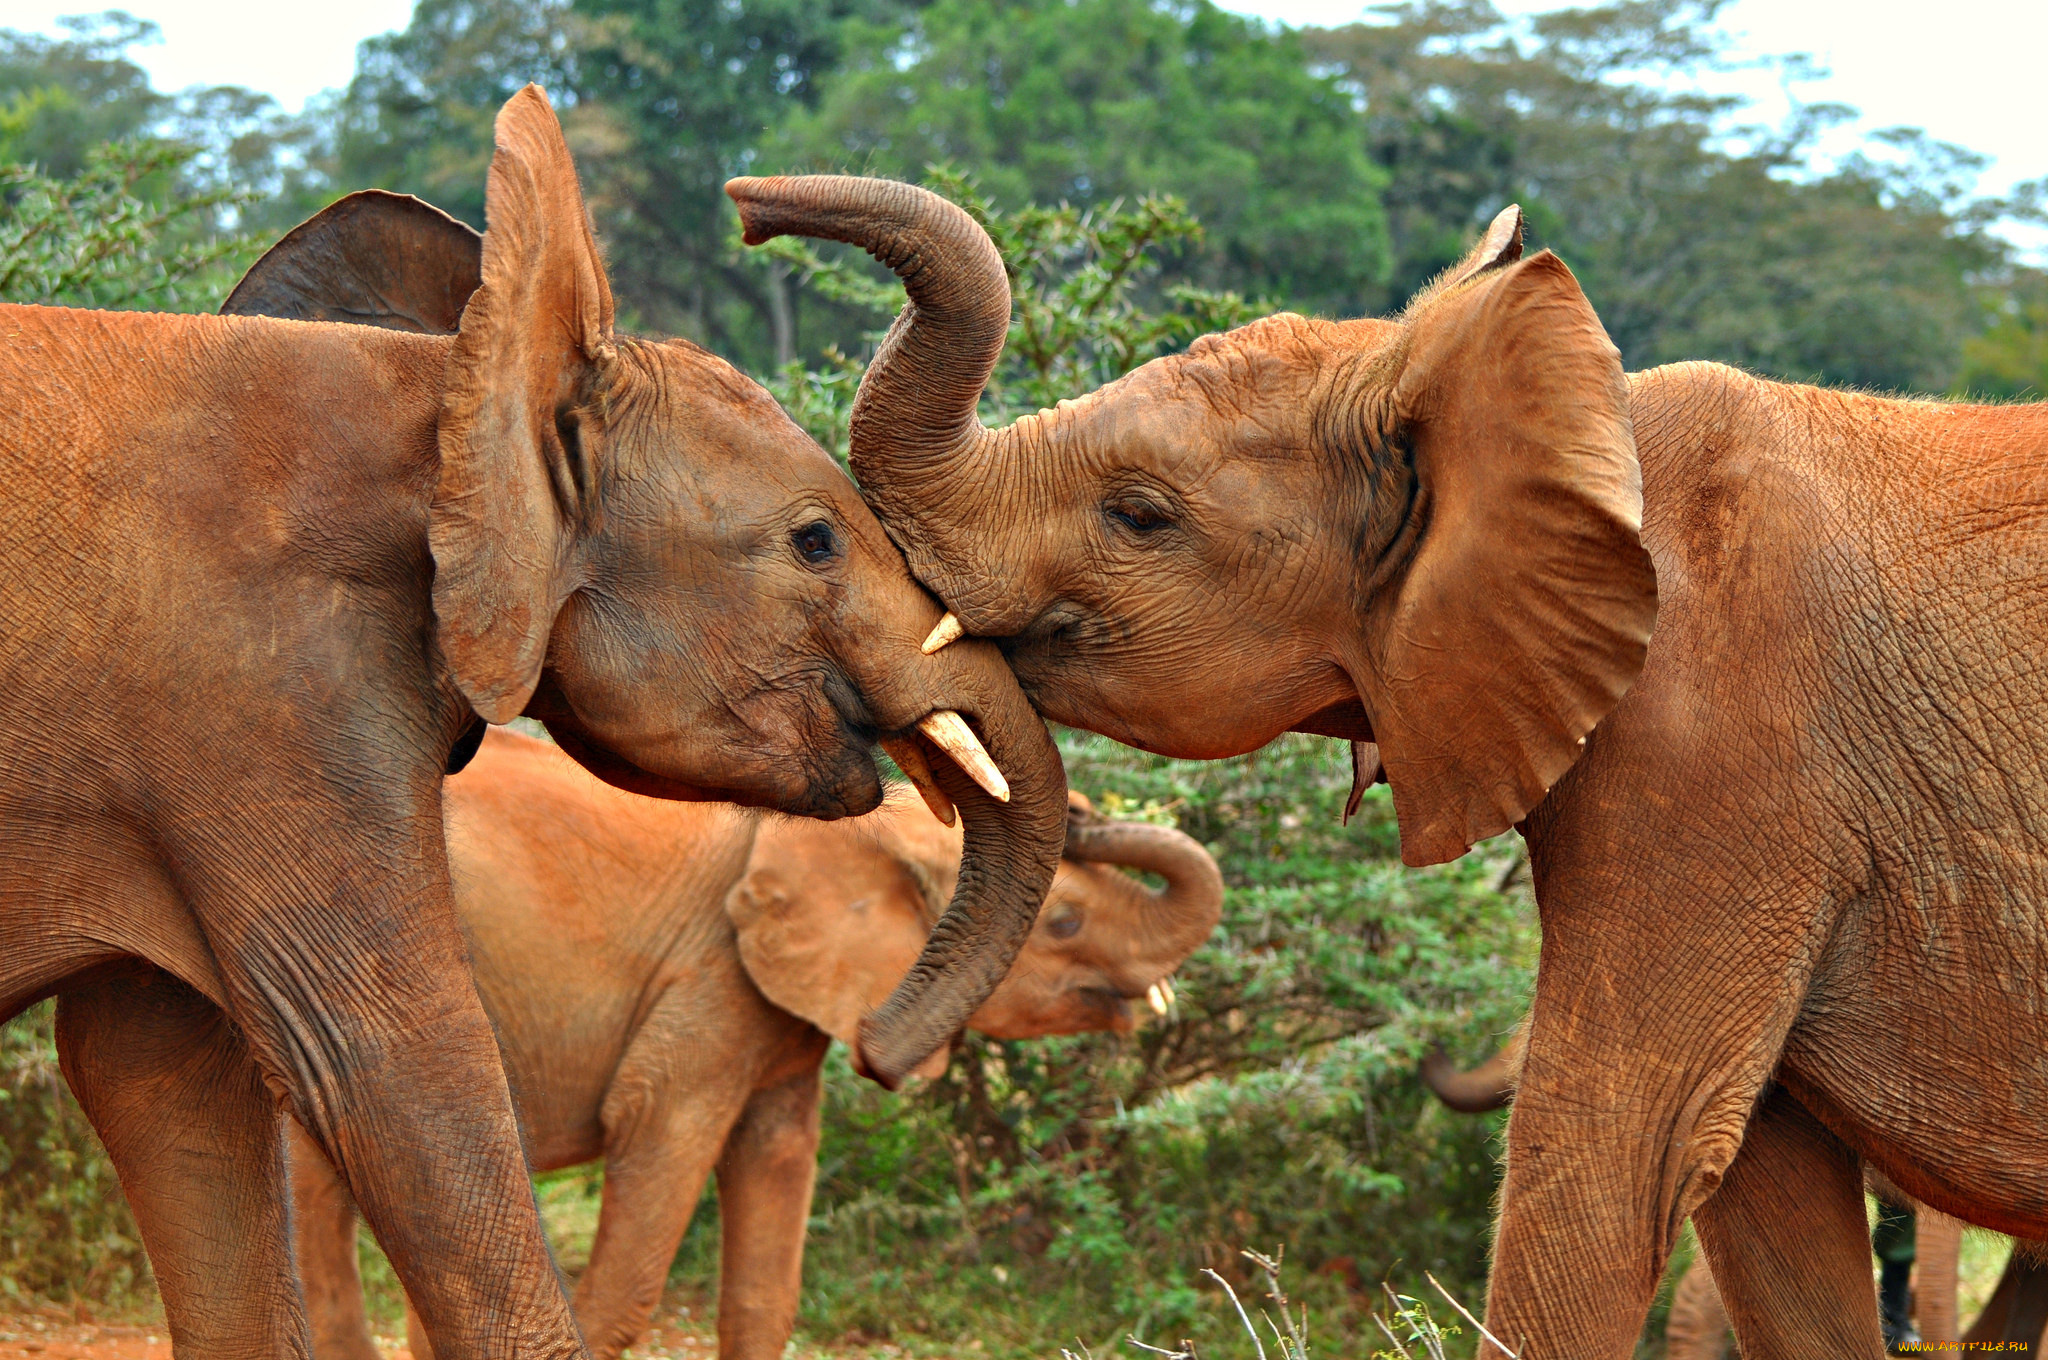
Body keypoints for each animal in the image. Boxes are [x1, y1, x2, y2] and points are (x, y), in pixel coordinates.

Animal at [0, 87, 1081, 1360]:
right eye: (816, 540)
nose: (747, 201)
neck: (449, 388)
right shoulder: (256, 687)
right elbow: (385, 1061)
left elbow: (164, 1078)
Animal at [286, 729, 1212, 1360]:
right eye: (1065, 924)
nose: (1086, 808)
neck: (853, 832)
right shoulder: (712, 978)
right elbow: (641, 1207)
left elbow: (772, 1228)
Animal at [724, 178, 2048, 1360]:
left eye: (1139, 515)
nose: (745, 206)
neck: (1568, 419)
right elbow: (1766, 1200)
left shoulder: (1719, 755)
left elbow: (1620, 1152)